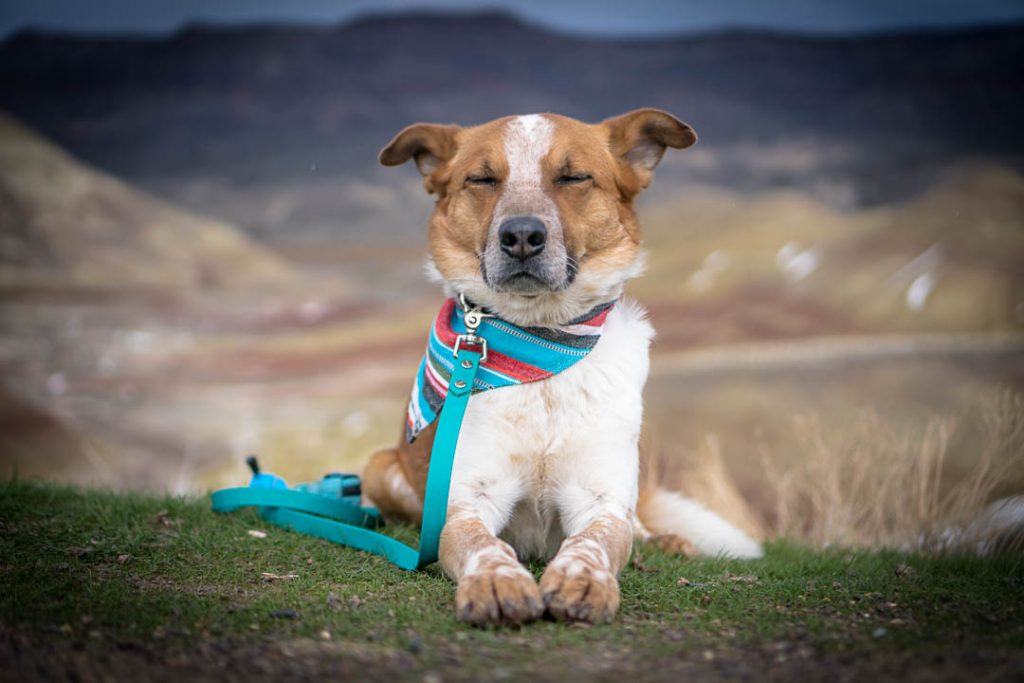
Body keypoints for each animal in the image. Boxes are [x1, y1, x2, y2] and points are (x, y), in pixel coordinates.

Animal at [360, 109, 761, 626]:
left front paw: (581, 579)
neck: (540, 342)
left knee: (638, 521)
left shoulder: (598, 500)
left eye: (574, 178)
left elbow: (593, 542)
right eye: (482, 179)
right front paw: (496, 580)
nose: (521, 236)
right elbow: (483, 545)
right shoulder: (468, 501)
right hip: (379, 468)